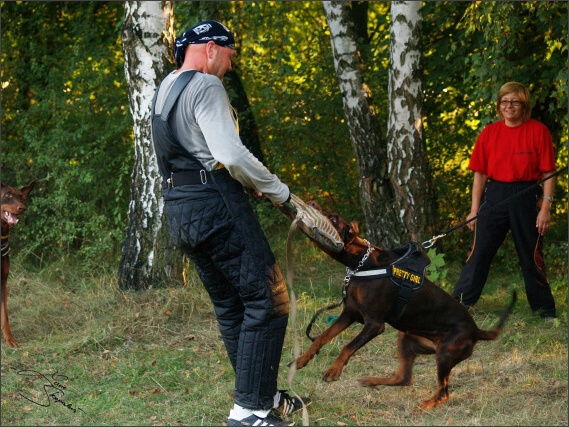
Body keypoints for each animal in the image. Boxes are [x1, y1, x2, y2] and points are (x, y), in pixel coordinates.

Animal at [292, 202, 516, 410]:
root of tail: (476, 330)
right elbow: (322, 337)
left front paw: (333, 371)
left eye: (333, 218)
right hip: (408, 339)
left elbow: (348, 346)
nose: (311, 203)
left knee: (443, 392)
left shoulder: (374, 324)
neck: (361, 264)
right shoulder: (349, 314)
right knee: (405, 378)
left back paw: (424, 406)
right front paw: (302, 359)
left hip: (445, 353)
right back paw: (371, 381)